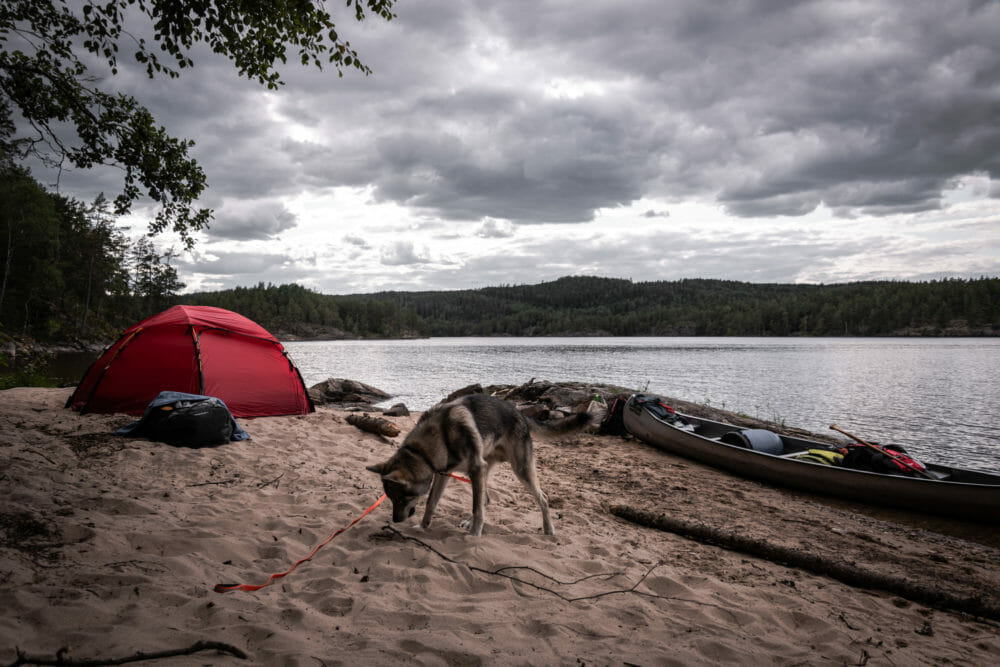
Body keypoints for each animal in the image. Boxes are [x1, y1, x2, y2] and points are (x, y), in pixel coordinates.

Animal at [364, 392, 588, 536]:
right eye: (392, 499)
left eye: (402, 499)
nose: (395, 521)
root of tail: (520, 413)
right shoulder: (443, 475)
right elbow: (431, 503)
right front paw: (423, 526)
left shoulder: (473, 469)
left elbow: (476, 508)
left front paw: (475, 534)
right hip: (484, 472)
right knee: (485, 499)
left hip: (518, 471)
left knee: (542, 498)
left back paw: (549, 530)